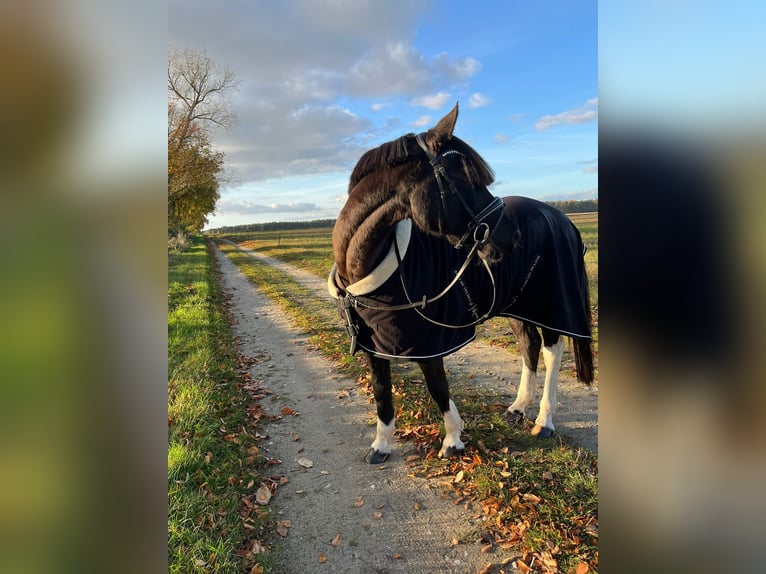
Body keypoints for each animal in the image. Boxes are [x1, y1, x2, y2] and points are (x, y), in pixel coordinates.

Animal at [328, 103, 593, 464]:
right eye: (467, 179)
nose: (512, 236)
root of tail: (561, 218)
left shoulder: (429, 343)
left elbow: (438, 386)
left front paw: (453, 440)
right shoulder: (374, 346)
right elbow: (381, 390)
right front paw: (381, 445)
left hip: (550, 304)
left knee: (553, 351)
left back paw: (544, 421)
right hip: (517, 305)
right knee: (529, 346)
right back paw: (518, 408)